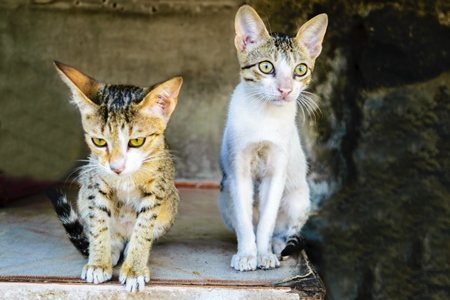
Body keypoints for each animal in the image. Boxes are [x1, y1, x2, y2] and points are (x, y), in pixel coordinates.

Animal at [48, 61, 183, 292]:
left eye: (136, 141)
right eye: (99, 142)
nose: (116, 168)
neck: (125, 178)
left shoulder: (157, 186)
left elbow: (144, 229)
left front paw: (135, 269)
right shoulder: (96, 183)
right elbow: (98, 224)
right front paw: (98, 262)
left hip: (170, 204)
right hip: (85, 186)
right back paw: (111, 249)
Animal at [218, 5, 326, 272]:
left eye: (300, 70)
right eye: (266, 67)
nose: (285, 90)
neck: (264, 118)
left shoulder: (276, 172)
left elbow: (266, 221)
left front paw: (263, 254)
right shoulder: (239, 171)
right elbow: (245, 221)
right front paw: (247, 254)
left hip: (299, 198)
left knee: (284, 230)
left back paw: (276, 247)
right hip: (224, 193)